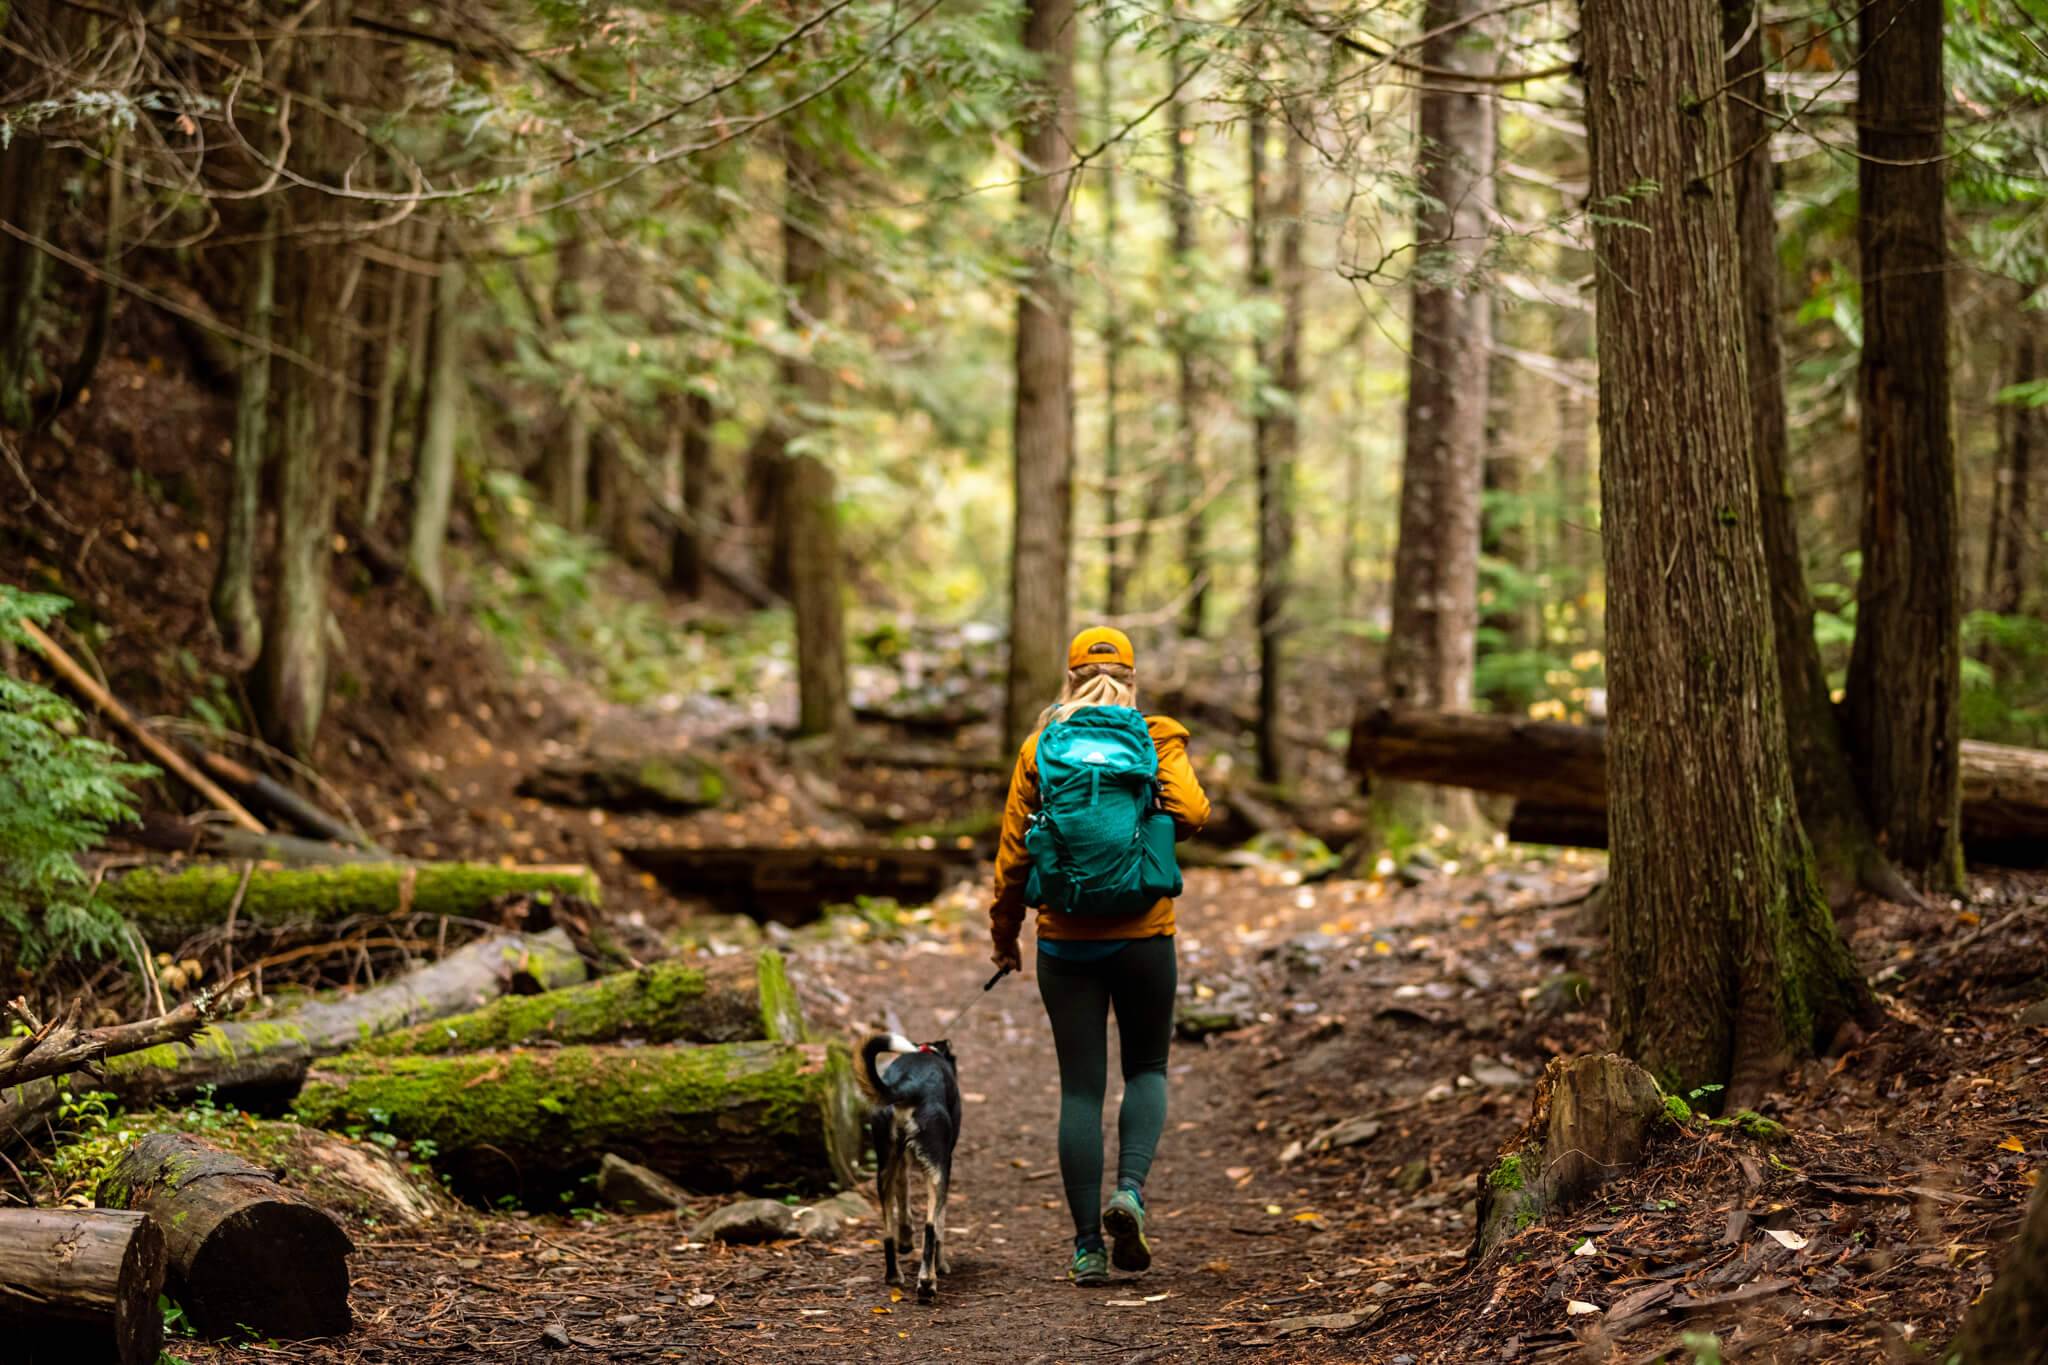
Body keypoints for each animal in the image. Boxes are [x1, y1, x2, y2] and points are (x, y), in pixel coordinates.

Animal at [860, 1035, 962, 1301]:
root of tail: (907, 1087)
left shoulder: (901, 1163)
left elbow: (904, 1201)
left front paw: (906, 1241)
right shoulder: (945, 1164)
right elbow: (940, 1228)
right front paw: (942, 1265)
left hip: (884, 1167)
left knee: (888, 1230)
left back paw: (893, 1275)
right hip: (937, 1172)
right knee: (930, 1228)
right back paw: (927, 1282)